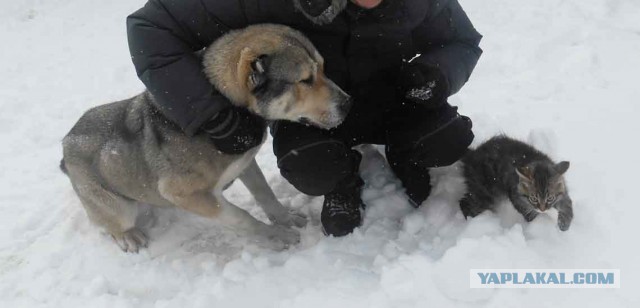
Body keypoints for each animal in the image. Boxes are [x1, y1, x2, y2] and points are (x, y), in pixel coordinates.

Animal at [61, 24, 350, 253]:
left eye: (323, 68)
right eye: (306, 80)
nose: (349, 104)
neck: (227, 106)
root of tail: (66, 143)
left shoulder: (244, 162)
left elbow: (264, 193)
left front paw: (285, 219)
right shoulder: (186, 194)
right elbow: (242, 217)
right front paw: (276, 236)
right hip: (118, 207)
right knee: (113, 224)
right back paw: (129, 237)